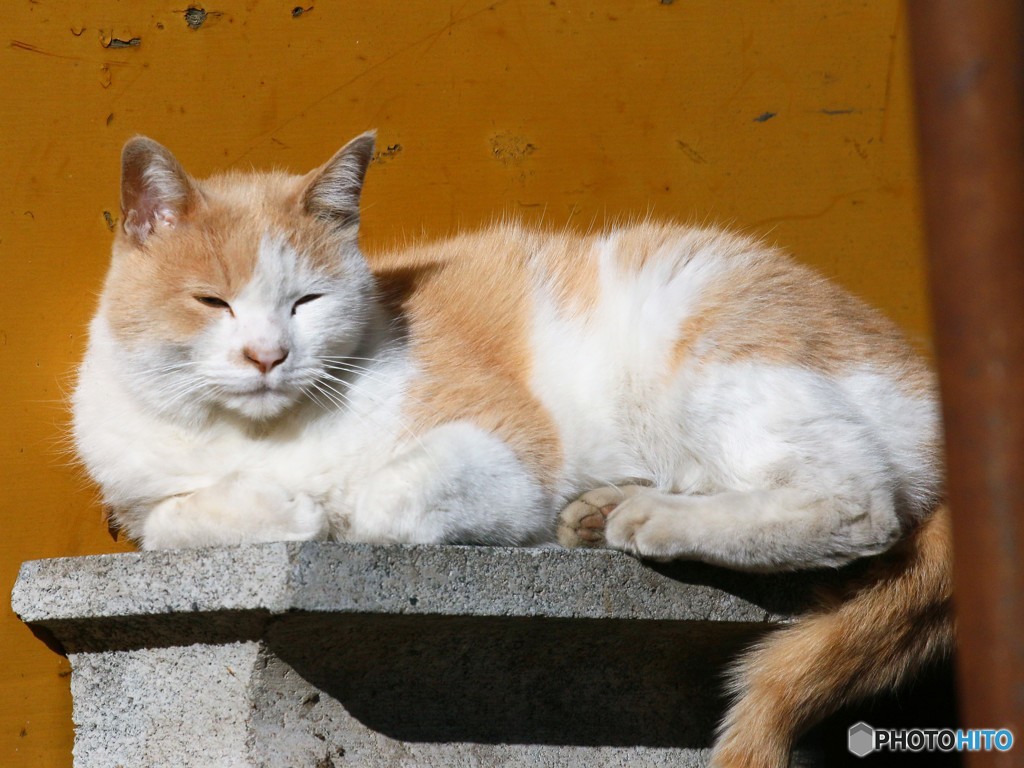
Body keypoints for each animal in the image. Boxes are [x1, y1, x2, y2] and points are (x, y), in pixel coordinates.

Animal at [72, 129, 950, 765]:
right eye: (211, 302)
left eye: (306, 302)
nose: (267, 356)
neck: (263, 432)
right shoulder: (137, 500)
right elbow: (176, 519)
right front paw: (281, 504)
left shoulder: (512, 451)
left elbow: (381, 498)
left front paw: (327, 508)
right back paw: (608, 510)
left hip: (711, 340)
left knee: (859, 503)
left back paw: (649, 520)